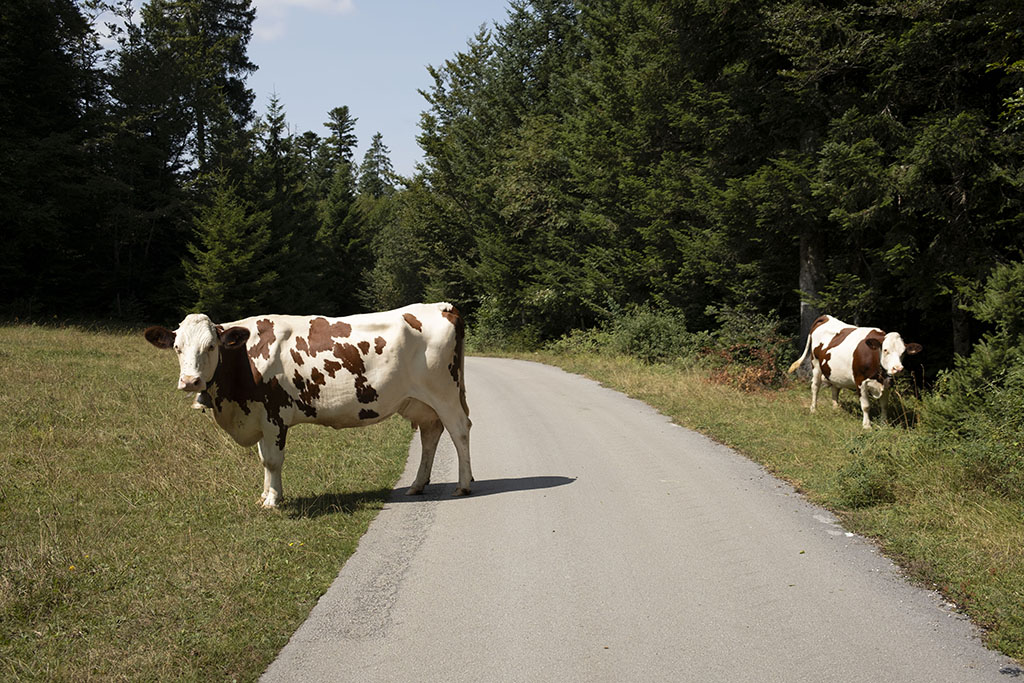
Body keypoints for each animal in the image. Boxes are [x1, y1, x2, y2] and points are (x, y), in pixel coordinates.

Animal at [144, 303, 471, 507]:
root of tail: (441, 307)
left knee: (460, 430)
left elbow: (273, 460)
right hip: (420, 402)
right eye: (177, 348)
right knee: (431, 435)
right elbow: (263, 459)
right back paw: (417, 484)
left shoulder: (274, 415)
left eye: (211, 346)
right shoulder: (260, 416)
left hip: (444, 392)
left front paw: (273, 501)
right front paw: (265, 495)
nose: (190, 381)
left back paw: (464, 484)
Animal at [786, 313, 925, 428]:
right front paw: (867, 426)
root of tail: (826, 317)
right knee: (815, 387)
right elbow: (866, 406)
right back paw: (813, 410)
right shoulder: (860, 381)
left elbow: (884, 405)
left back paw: (836, 409)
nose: (898, 369)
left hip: (834, 371)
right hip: (815, 365)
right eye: (885, 350)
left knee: (835, 388)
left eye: (903, 352)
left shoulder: (887, 383)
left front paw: (884, 424)